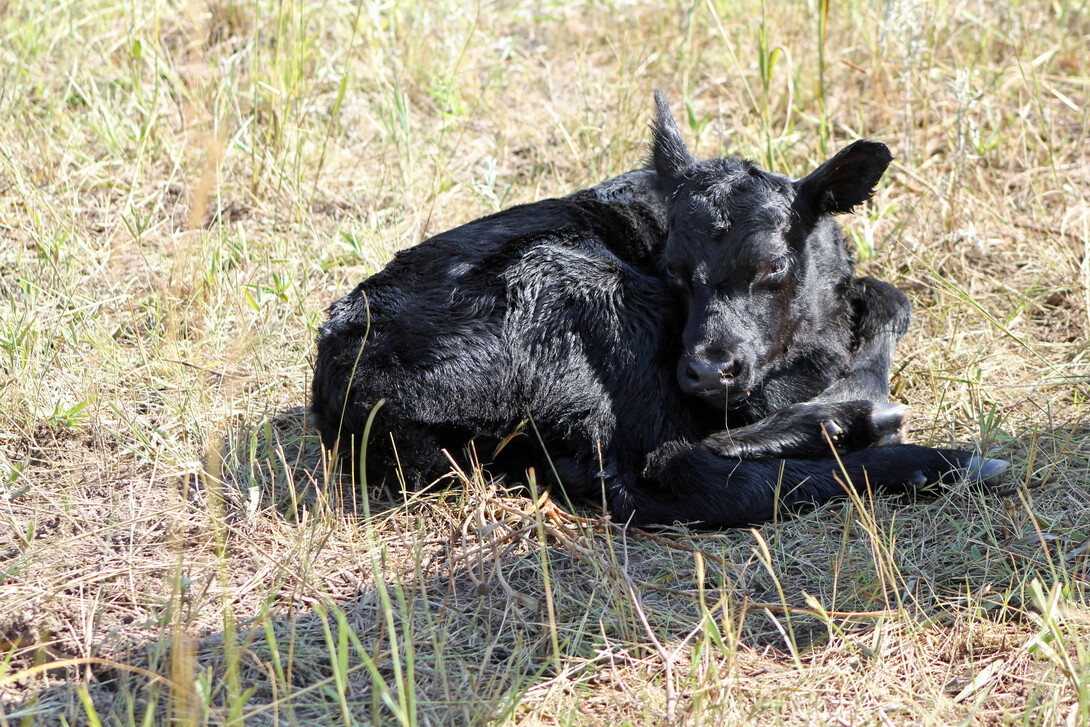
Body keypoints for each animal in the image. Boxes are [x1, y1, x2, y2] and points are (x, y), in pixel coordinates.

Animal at [311, 92, 1007, 527]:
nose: (706, 371)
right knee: (682, 469)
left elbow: (892, 296)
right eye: (673, 269)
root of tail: (351, 390)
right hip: (586, 293)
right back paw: (907, 449)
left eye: (772, 268)